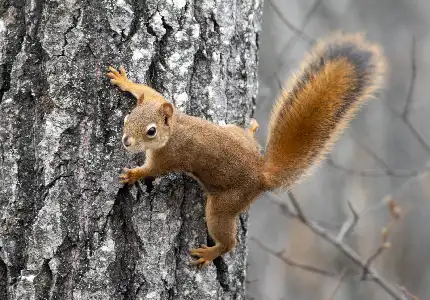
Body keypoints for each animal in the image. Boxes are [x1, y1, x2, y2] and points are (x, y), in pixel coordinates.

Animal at [106, 32, 386, 268]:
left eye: (151, 131)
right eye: (128, 117)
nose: (126, 141)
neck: (174, 128)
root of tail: (260, 175)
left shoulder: (168, 156)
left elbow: (152, 170)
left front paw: (132, 175)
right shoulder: (159, 100)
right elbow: (148, 90)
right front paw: (124, 80)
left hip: (224, 205)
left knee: (229, 240)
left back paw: (211, 252)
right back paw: (250, 132)